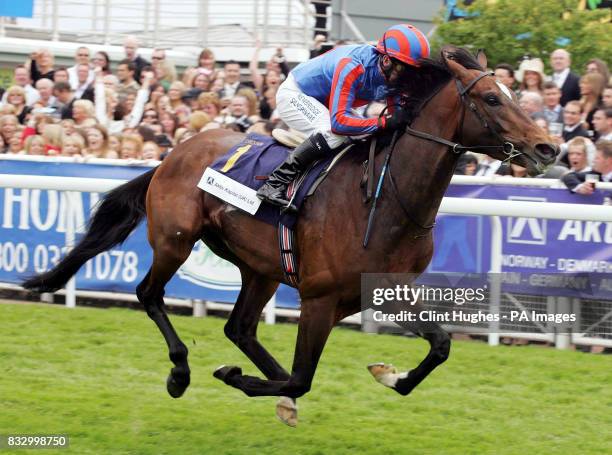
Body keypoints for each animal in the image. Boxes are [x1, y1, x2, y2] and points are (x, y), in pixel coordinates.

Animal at [23, 48, 556, 426]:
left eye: (514, 94)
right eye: (493, 99)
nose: (547, 147)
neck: (387, 197)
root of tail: (174, 153)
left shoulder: (385, 291)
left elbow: (441, 344)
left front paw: (391, 376)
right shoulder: (319, 299)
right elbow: (302, 378)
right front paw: (234, 376)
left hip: (259, 267)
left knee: (239, 327)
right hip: (175, 239)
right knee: (148, 294)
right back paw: (181, 371)